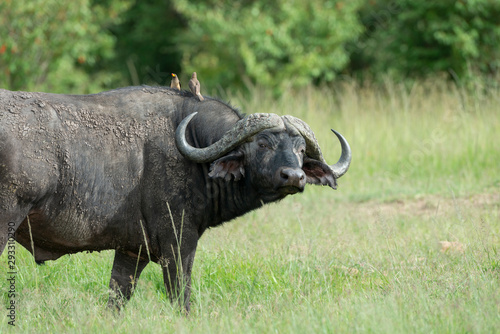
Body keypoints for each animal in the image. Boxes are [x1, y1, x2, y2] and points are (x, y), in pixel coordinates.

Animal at [0, 85, 352, 310]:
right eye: (263, 143)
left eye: (301, 149)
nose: (294, 176)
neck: (195, 151)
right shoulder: (178, 245)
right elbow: (180, 299)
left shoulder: (131, 251)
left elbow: (117, 300)